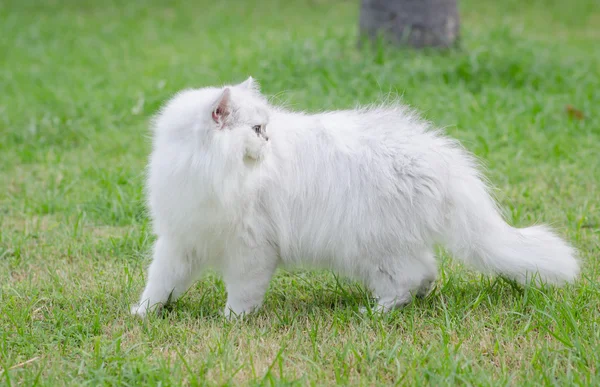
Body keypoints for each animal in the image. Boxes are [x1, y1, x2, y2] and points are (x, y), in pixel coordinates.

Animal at [130, 76, 576, 318]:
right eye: (258, 130)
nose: (270, 140)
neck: (207, 169)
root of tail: (440, 159)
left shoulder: (250, 249)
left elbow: (242, 293)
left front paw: (231, 320)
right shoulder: (179, 241)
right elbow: (160, 283)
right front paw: (145, 313)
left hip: (369, 247)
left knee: (411, 276)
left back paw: (376, 312)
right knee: (426, 273)